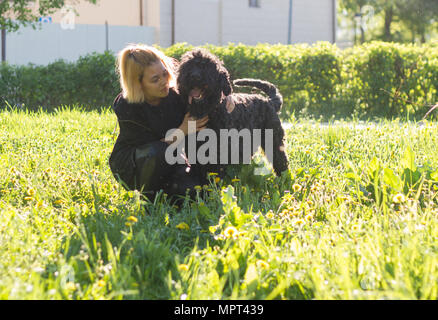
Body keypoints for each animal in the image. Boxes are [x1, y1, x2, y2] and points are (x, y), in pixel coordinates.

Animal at [176, 48, 290, 182]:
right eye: (188, 65)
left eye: (207, 66)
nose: (195, 76)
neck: (210, 110)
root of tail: (270, 101)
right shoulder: (194, 148)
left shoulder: (220, 150)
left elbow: (217, 172)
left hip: (274, 140)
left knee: (280, 159)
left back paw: (284, 179)